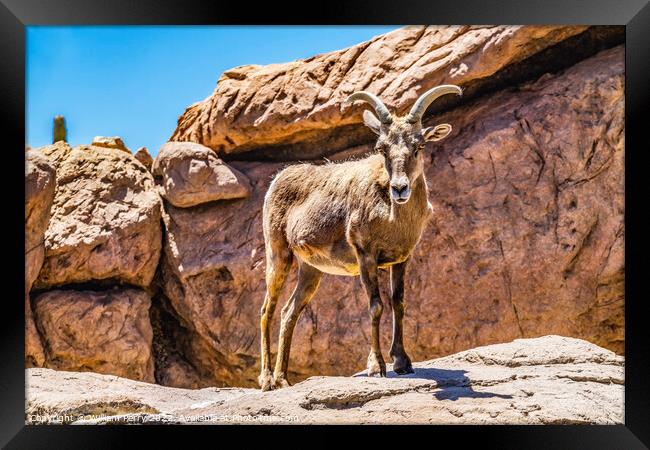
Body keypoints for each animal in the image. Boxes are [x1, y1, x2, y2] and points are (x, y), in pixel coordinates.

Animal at [258, 84, 460, 390]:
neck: (392, 218)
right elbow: (376, 306)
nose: (399, 188)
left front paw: (402, 363)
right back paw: (267, 380)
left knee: (288, 312)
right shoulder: (366, 256)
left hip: (311, 270)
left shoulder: (402, 259)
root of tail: (276, 181)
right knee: (267, 311)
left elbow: (399, 303)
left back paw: (283, 380)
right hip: (278, 255)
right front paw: (376, 367)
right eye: (381, 148)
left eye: (419, 145)